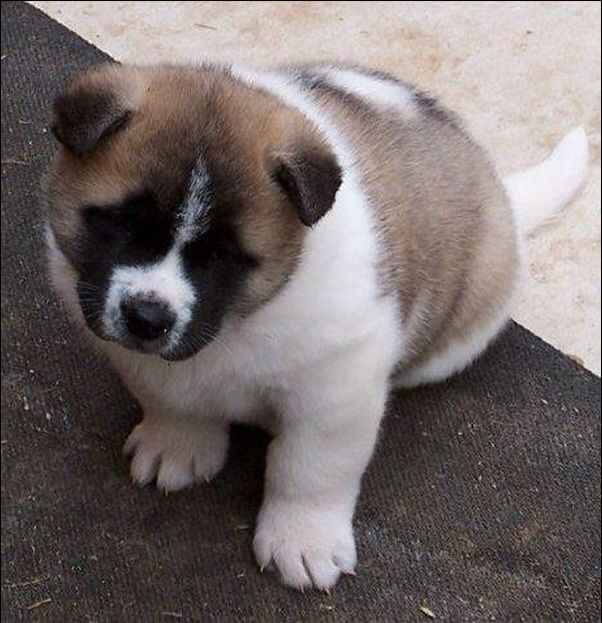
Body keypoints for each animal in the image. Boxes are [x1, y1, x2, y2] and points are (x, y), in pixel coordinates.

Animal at [45, 62, 584, 588]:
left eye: (221, 256)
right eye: (123, 224)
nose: (147, 319)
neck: (239, 324)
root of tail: (501, 193)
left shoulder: (335, 391)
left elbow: (309, 468)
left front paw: (303, 539)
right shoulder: (142, 359)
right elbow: (171, 399)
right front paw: (177, 443)